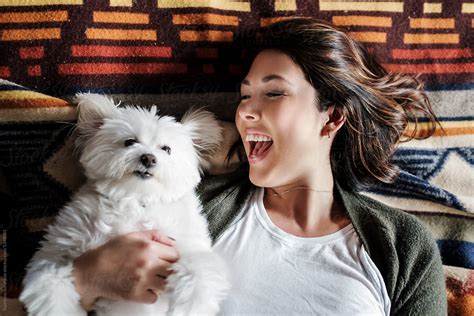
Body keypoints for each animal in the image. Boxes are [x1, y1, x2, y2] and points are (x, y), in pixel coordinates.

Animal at [19, 92, 231, 314]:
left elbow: (200, 268)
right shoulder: (57, 248)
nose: (148, 158)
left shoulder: (190, 244)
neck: (136, 199)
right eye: (129, 142)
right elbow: (50, 277)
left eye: (166, 149)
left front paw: (190, 306)